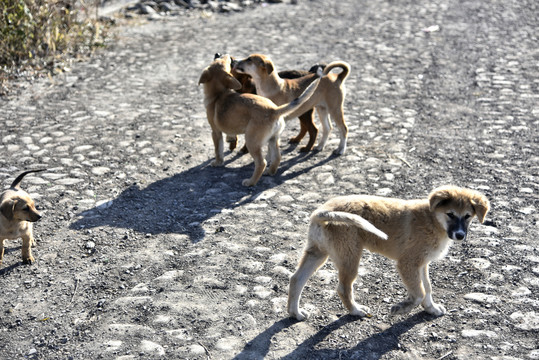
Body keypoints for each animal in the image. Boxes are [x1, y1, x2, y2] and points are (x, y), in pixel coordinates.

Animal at [200, 55, 322, 188]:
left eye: (222, 60)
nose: (219, 54)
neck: (218, 94)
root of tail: (274, 110)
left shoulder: (215, 132)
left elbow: (218, 150)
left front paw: (217, 162)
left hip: (252, 141)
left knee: (261, 162)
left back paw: (251, 182)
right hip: (273, 138)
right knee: (277, 157)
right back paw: (270, 172)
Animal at [288, 186, 492, 320]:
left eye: (467, 216)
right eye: (450, 214)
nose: (460, 235)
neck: (433, 220)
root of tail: (322, 211)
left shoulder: (422, 264)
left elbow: (427, 289)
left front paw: (431, 308)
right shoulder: (407, 263)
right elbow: (419, 292)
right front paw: (402, 308)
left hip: (318, 252)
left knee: (296, 279)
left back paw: (295, 313)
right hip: (350, 257)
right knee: (343, 288)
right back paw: (356, 310)